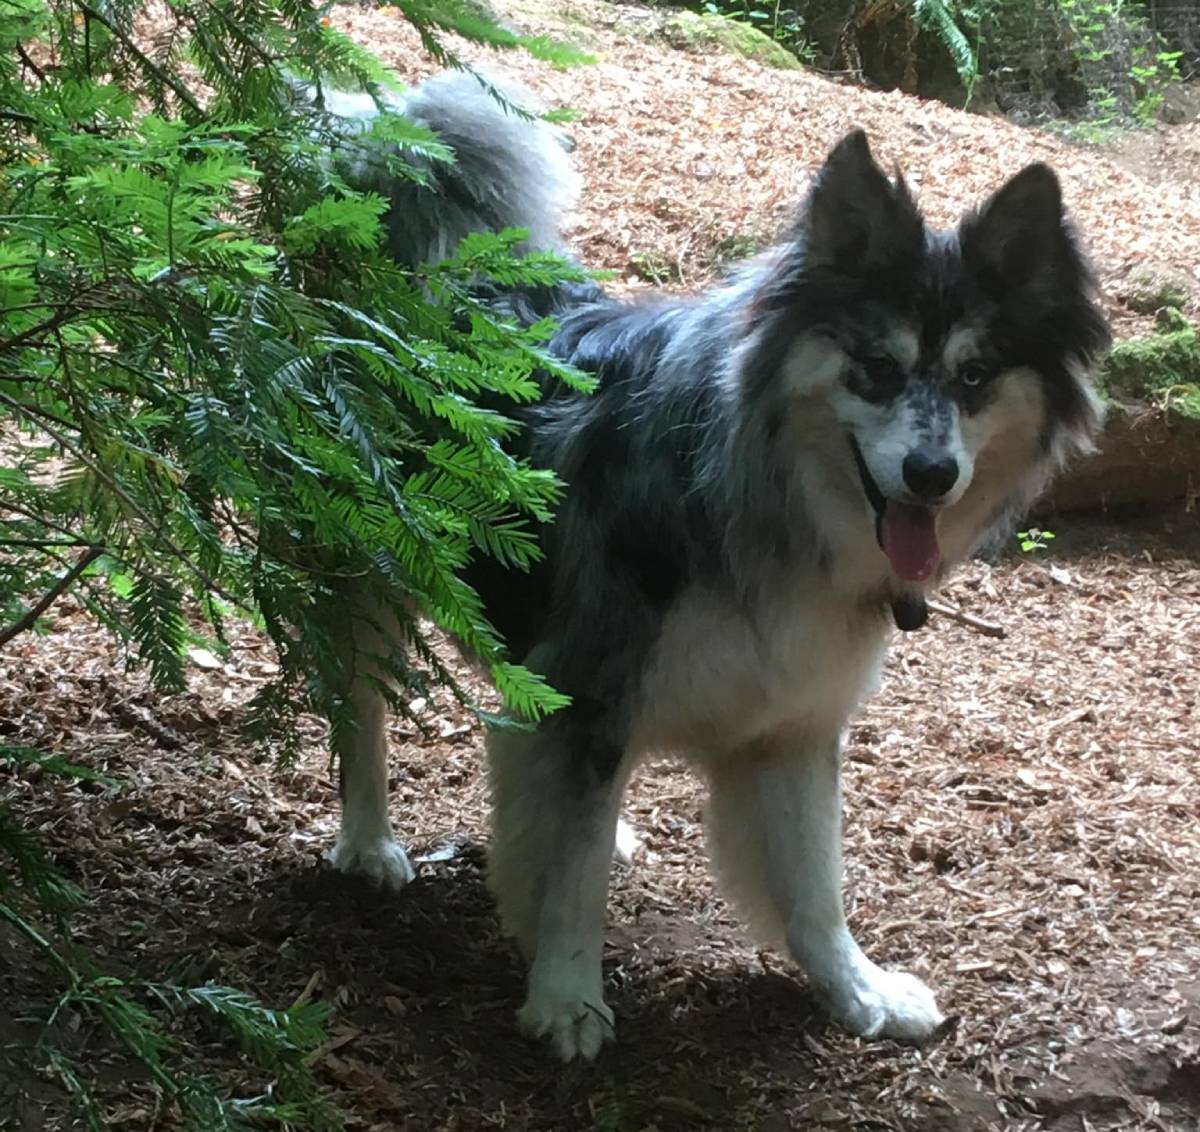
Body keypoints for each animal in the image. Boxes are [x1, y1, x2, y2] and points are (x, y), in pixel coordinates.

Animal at [316, 70, 1104, 1061]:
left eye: (975, 376)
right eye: (877, 366)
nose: (932, 475)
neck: (753, 496)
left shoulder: (792, 722)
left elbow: (815, 882)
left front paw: (857, 991)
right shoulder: (598, 684)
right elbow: (574, 874)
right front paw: (567, 994)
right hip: (366, 581)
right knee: (362, 710)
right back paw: (368, 844)